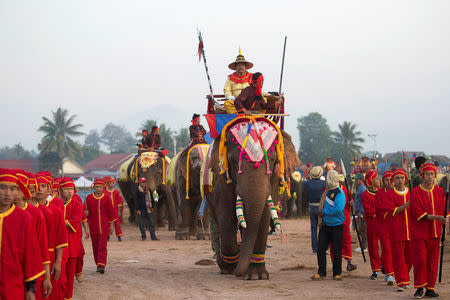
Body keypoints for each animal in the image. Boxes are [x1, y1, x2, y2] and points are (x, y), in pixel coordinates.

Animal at [207, 116, 298, 278]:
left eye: (273, 159)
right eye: (233, 160)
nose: (237, 273)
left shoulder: (273, 181)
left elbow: (264, 215)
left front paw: (257, 276)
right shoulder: (221, 178)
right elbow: (226, 213)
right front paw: (232, 267)